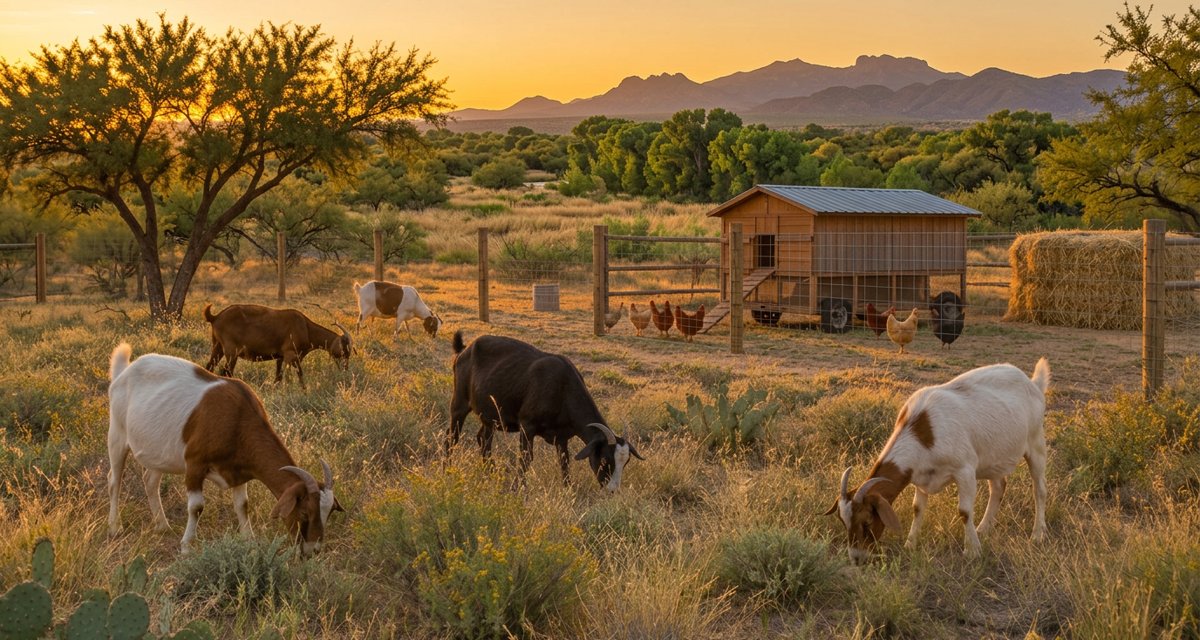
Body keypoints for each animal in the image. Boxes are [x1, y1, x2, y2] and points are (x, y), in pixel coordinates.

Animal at [107, 343, 343, 554]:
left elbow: (243, 505)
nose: (312, 550)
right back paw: (115, 527)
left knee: (150, 481)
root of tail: (124, 372)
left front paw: (249, 540)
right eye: (304, 513)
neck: (237, 417)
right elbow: (196, 507)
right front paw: (187, 547)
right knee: (114, 480)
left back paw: (163, 526)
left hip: (158, 453)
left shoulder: (238, 471)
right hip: (117, 435)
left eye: (329, 513)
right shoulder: (195, 464)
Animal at [203, 303, 352, 387]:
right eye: (345, 351)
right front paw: (302, 390)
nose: (345, 368)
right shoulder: (291, 355)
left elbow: (278, 377)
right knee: (226, 371)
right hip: (231, 352)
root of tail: (215, 317)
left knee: (210, 366)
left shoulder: (281, 357)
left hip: (217, 347)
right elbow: (298, 374)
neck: (306, 327)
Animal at [448, 331, 643, 491]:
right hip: (459, 404)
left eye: (625, 462)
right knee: (451, 438)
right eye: (604, 459)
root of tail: (464, 350)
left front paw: (568, 488)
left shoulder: (562, 437)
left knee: (483, 439)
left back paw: (491, 474)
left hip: (490, 416)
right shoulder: (527, 425)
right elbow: (526, 458)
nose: (612, 491)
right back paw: (447, 469)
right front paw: (518, 488)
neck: (563, 388)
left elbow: (564, 461)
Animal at [825, 358, 1050, 564]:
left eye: (867, 521)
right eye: (843, 522)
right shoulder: (920, 477)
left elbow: (964, 511)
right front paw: (910, 544)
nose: (857, 558)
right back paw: (983, 529)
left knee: (1039, 489)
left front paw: (972, 550)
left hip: (1036, 443)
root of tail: (1032, 383)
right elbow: (917, 509)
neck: (923, 431)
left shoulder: (965, 469)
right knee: (998, 487)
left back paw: (1037, 535)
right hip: (992, 458)